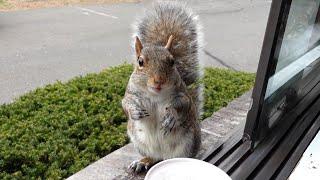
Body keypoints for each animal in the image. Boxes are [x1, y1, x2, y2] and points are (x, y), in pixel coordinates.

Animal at [122, 1, 202, 173]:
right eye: (140, 62)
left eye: (172, 61)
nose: (158, 80)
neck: (155, 94)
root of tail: (164, 156)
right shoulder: (131, 93)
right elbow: (125, 104)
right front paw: (135, 111)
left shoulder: (182, 94)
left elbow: (184, 104)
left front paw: (171, 116)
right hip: (139, 141)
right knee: (153, 157)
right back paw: (143, 161)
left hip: (189, 142)